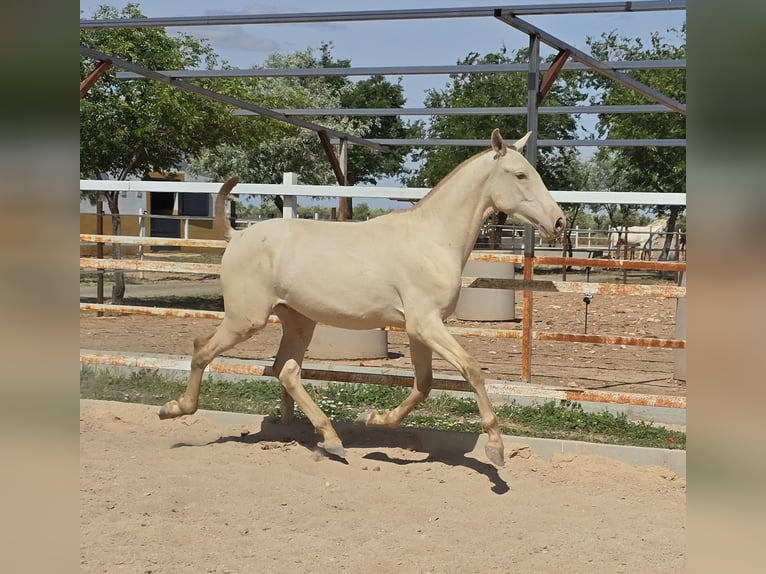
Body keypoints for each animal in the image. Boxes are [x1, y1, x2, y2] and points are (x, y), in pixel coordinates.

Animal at [159, 130, 568, 468]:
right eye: (520, 175)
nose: (559, 222)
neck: (433, 239)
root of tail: (237, 236)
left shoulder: (419, 329)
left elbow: (424, 384)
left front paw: (375, 419)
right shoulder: (426, 324)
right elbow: (471, 369)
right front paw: (496, 449)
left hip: (298, 320)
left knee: (286, 371)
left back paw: (332, 440)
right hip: (247, 319)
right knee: (203, 351)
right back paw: (174, 409)